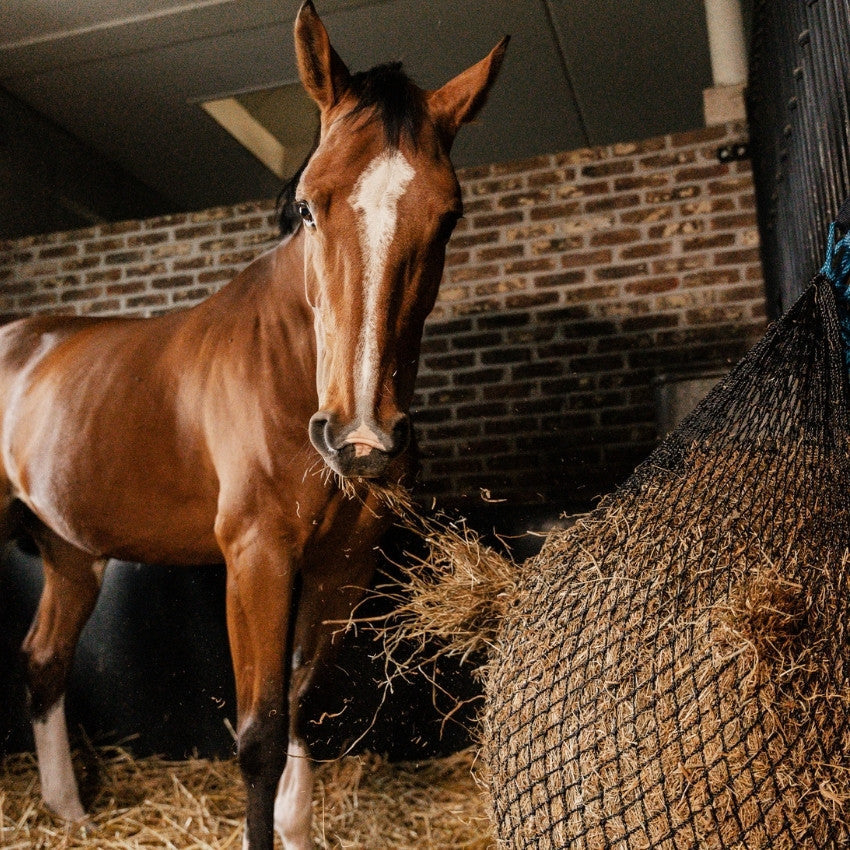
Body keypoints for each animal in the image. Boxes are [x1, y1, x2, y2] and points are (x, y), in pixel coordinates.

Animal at [0, 3, 507, 848]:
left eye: (449, 213)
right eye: (308, 203)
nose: (360, 439)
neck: (288, 364)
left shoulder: (339, 568)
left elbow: (301, 708)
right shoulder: (257, 558)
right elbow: (261, 734)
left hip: (71, 553)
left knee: (44, 662)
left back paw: (68, 812)